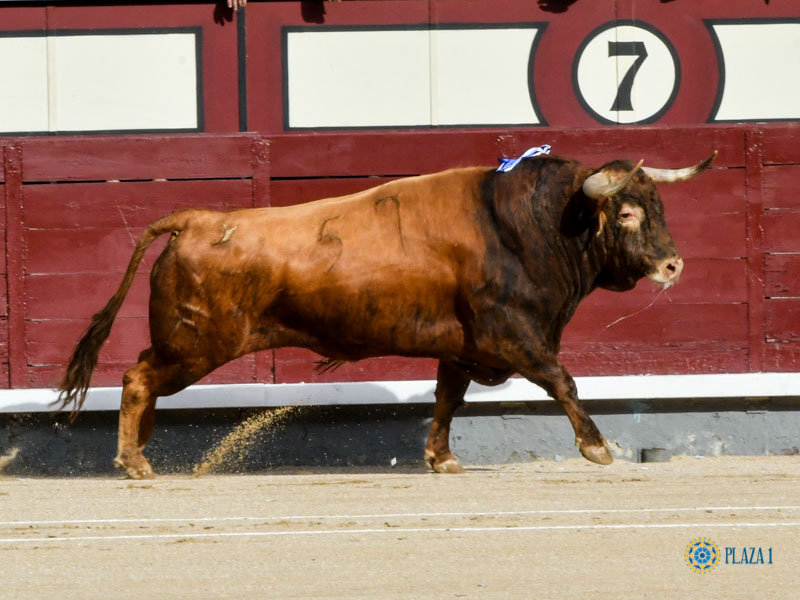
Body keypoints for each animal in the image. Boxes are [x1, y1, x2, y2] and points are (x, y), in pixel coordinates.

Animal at [59, 150, 716, 478]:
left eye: (658, 206)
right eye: (627, 214)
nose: (674, 265)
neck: (532, 226)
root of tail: (194, 218)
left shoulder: (462, 349)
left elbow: (446, 400)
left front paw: (442, 459)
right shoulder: (515, 337)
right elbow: (564, 381)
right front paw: (598, 448)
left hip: (188, 346)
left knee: (142, 379)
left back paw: (138, 452)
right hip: (196, 345)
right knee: (136, 378)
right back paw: (135, 462)